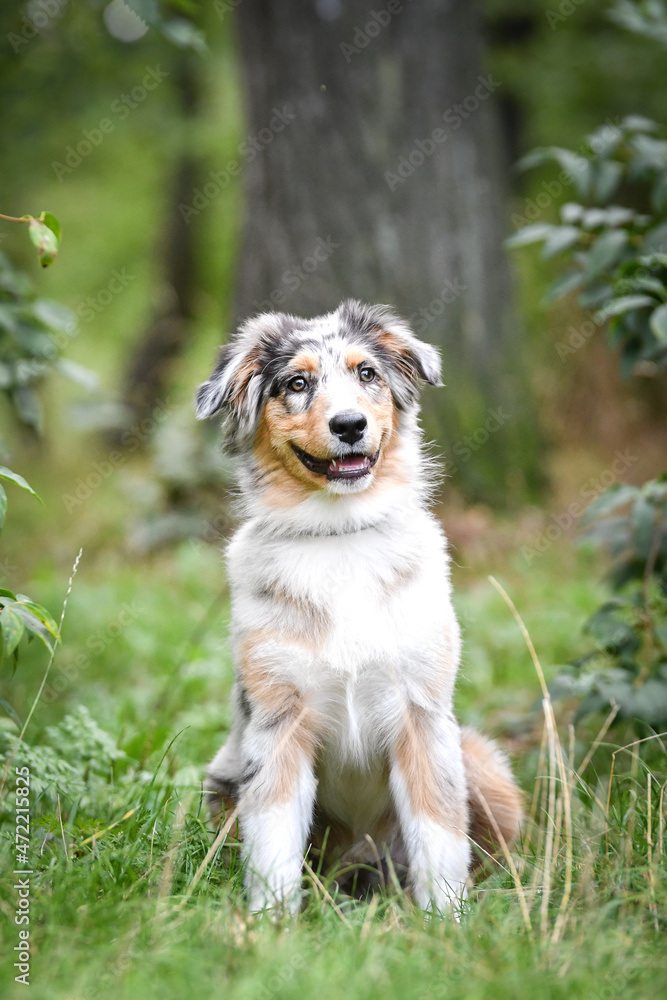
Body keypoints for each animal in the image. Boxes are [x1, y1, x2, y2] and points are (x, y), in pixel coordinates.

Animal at [196, 296, 524, 916]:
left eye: (367, 374)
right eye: (297, 383)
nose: (349, 425)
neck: (339, 535)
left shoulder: (423, 714)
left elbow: (438, 832)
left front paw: (447, 922)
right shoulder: (278, 722)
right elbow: (274, 841)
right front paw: (269, 924)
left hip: (479, 759)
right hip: (223, 779)